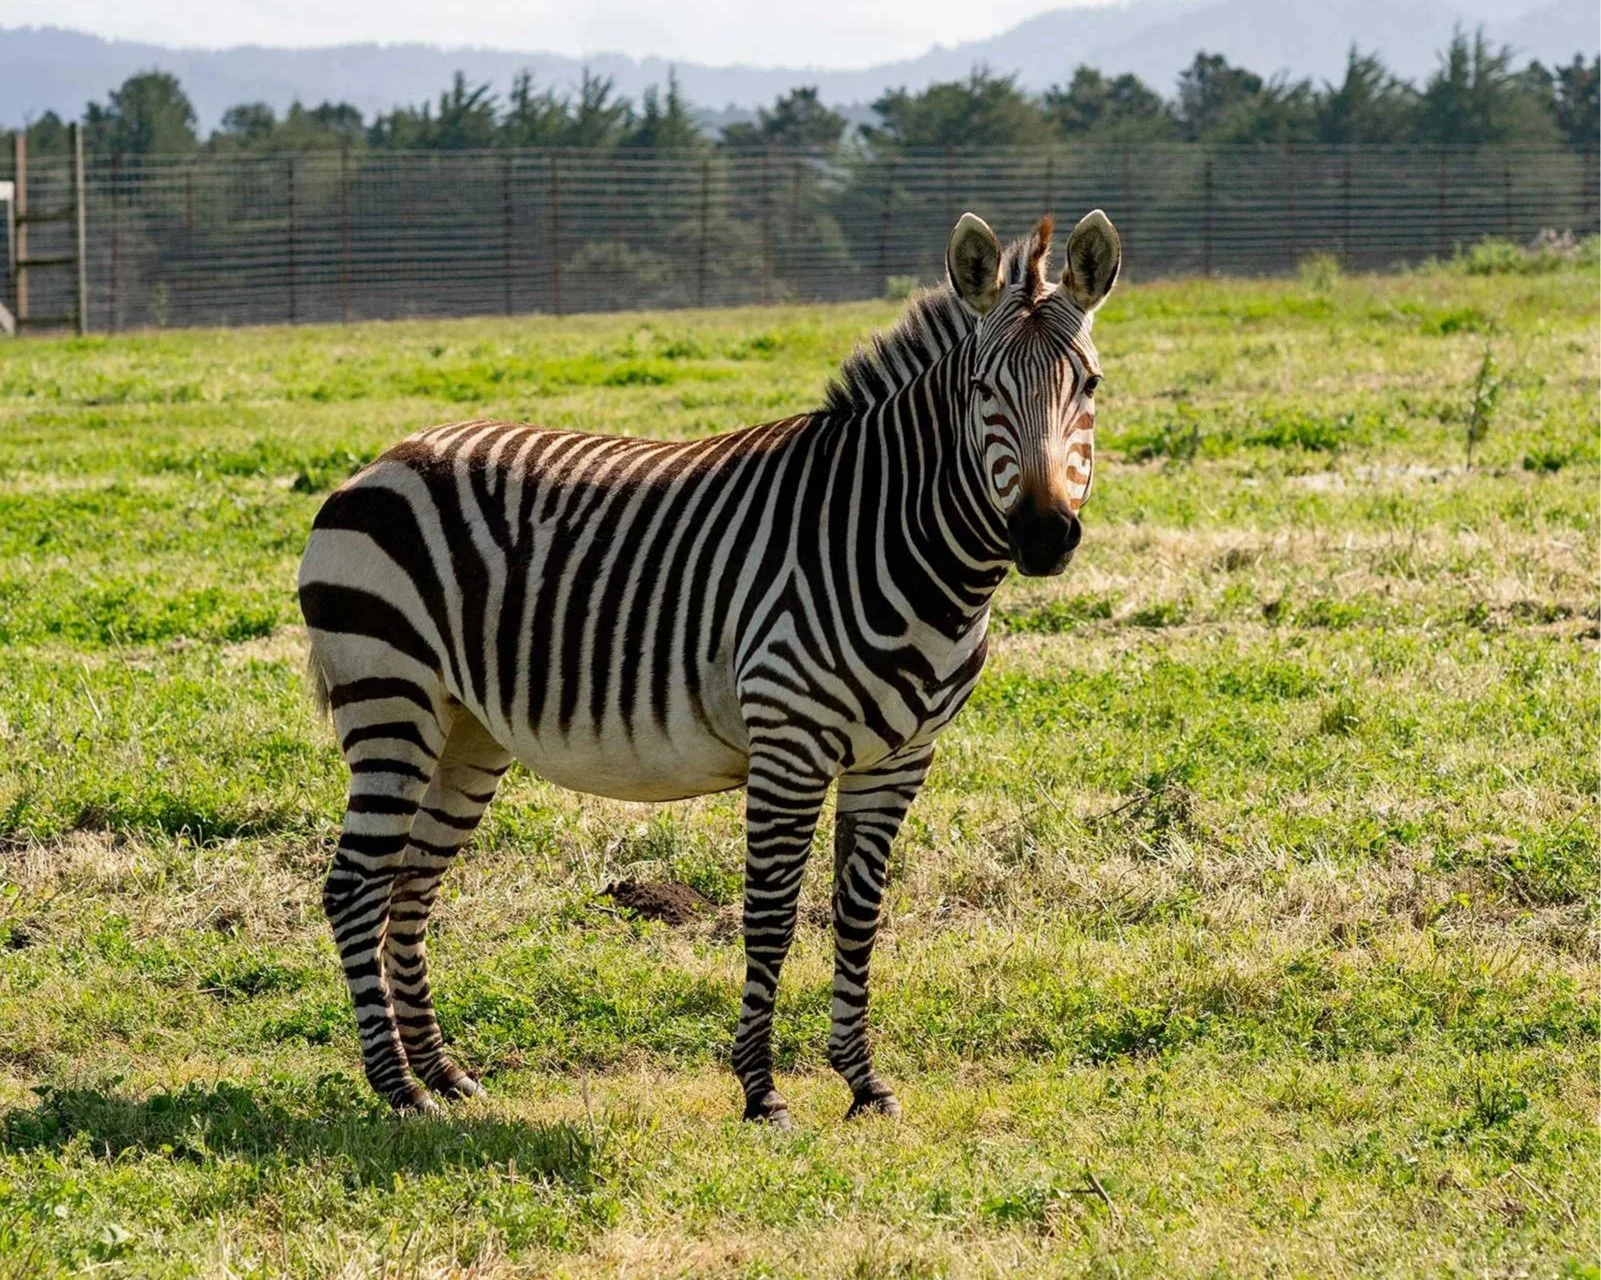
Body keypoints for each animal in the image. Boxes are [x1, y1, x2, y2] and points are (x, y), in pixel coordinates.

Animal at [298, 208, 1120, 1124]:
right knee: (355, 886)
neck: (897, 542)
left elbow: (857, 914)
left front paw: (862, 1081)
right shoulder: (789, 744)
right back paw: (398, 1087)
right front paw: (760, 1090)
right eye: (982, 391)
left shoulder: (899, 758)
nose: (1044, 536)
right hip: (390, 701)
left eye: (1088, 385)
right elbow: (771, 915)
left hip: (466, 729)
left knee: (410, 883)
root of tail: (385, 458)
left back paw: (442, 1071)